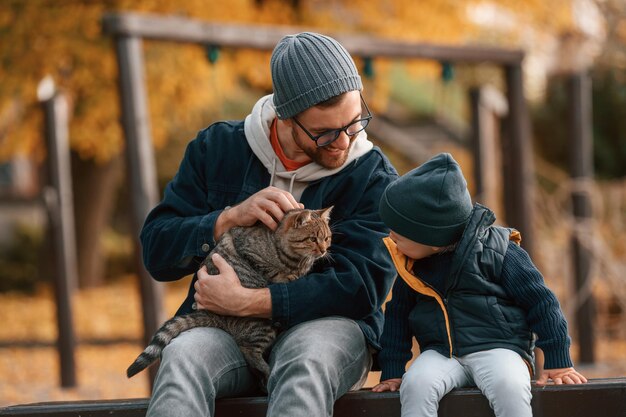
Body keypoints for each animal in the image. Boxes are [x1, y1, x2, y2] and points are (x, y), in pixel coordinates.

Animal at [126, 206, 332, 388]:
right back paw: (268, 371)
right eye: (313, 239)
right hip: (261, 324)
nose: (323, 250)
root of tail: (216, 315)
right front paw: (288, 276)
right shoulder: (249, 252)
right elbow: (274, 272)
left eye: (327, 238)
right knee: (247, 349)